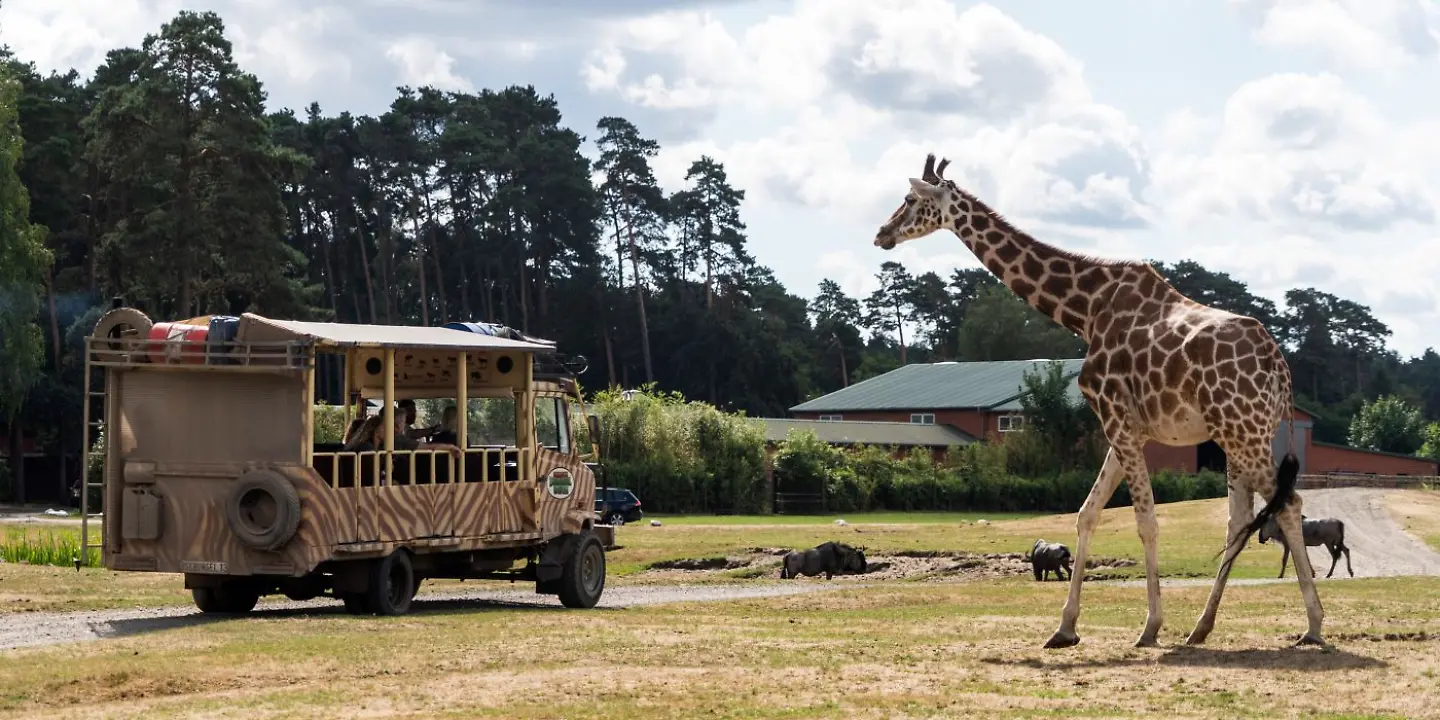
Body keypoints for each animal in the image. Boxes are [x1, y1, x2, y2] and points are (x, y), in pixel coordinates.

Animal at [869, 154, 1319, 650]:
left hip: (1243, 431)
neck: (1085, 310)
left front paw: (1150, 626)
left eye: (910, 200)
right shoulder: (1127, 425)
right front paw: (1064, 627)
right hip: (1238, 434)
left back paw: (1314, 625)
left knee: (1289, 504)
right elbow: (1087, 514)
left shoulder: (1115, 416)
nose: (882, 234)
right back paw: (1201, 627)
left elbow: (1145, 521)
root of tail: (1279, 367)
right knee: (1240, 519)